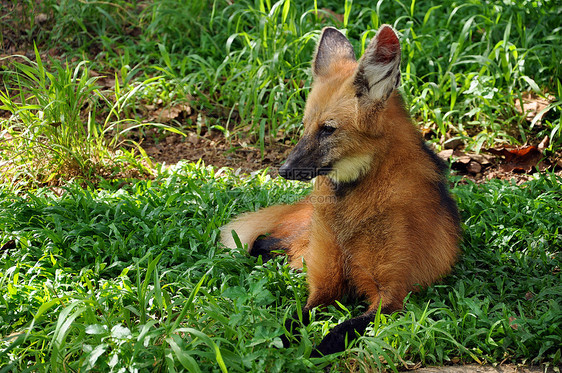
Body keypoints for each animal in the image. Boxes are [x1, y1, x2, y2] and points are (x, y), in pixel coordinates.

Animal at [220, 24, 460, 354]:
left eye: (328, 129)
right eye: (305, 126)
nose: (284, 170)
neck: (352, 202)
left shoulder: (391, 296)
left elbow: (339, 331)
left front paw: (313, 353)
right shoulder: (326, 284)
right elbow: (296, 316)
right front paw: (283, 343)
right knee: (261, 242)